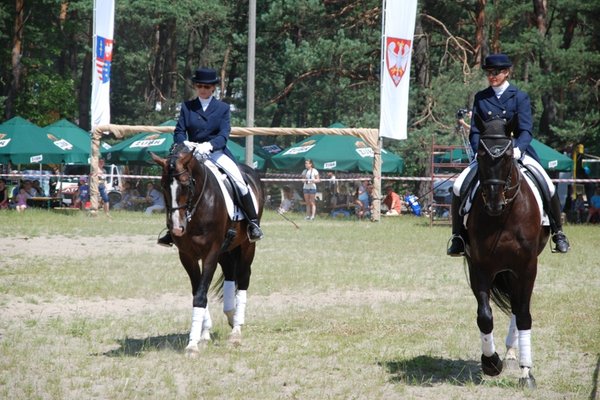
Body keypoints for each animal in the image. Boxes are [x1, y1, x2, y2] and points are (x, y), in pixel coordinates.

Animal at [151, 144, 264, 356]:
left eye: (186, 185)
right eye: (163, 185)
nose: (177, 228)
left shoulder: (210, 253)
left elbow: (201, 294)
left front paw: (192, 345)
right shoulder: (187, 256)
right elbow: (198, 292)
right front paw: (203, 335)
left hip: (247, 246)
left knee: (243, 278)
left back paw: (236, 330)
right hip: (226, 250)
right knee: (230, 276)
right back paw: (230, 314)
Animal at [466, 115, 552, 388]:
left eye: (506, 156)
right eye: (481, 154)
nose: (494, 202)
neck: (503, 217)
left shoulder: (527, 267)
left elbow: (523, 314)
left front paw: (527, 373)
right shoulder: (479, 266)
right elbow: (484, 316)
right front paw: (491, 362)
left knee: (517, 306)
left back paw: (514, 353)